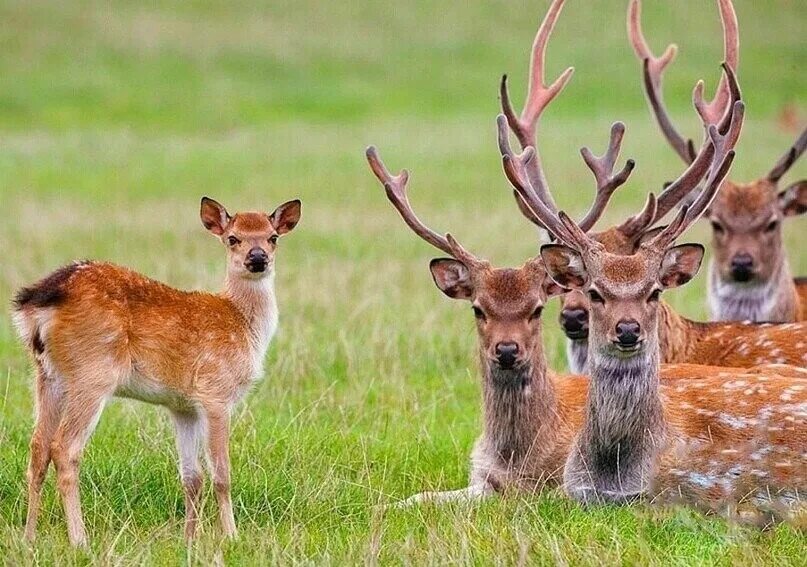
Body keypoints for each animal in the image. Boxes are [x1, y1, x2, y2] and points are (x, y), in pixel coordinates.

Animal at [11, 196, 304, 544]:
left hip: (48, 374)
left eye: (273, 237)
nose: (257, 258)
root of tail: (39, 303)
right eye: (233, 238)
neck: (242, 325)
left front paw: (190, 539)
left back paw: (29, 538)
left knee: (38, 447)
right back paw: (80, 540)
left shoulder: (183, 406)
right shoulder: (216, 392)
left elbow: (192, 477)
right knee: (64, 448)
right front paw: (231, 537)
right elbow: (221, 474)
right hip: (93, 372)